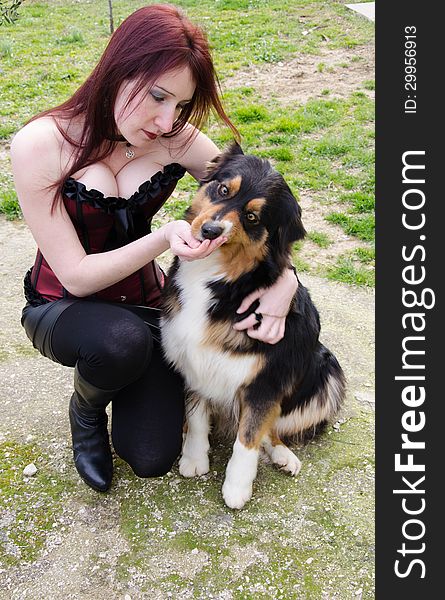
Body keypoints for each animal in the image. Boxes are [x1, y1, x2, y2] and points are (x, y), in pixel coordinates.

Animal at [161, 143, 346, 508]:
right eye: (223, 190)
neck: (220, 279)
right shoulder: (191, 364)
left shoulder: (265, 381)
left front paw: (236, 487)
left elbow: (248, 437)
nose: (209, 231)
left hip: (327, 374)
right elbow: (197, 417)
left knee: (270, 428)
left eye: (252, 218)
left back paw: (283, 455)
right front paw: (194, 458)